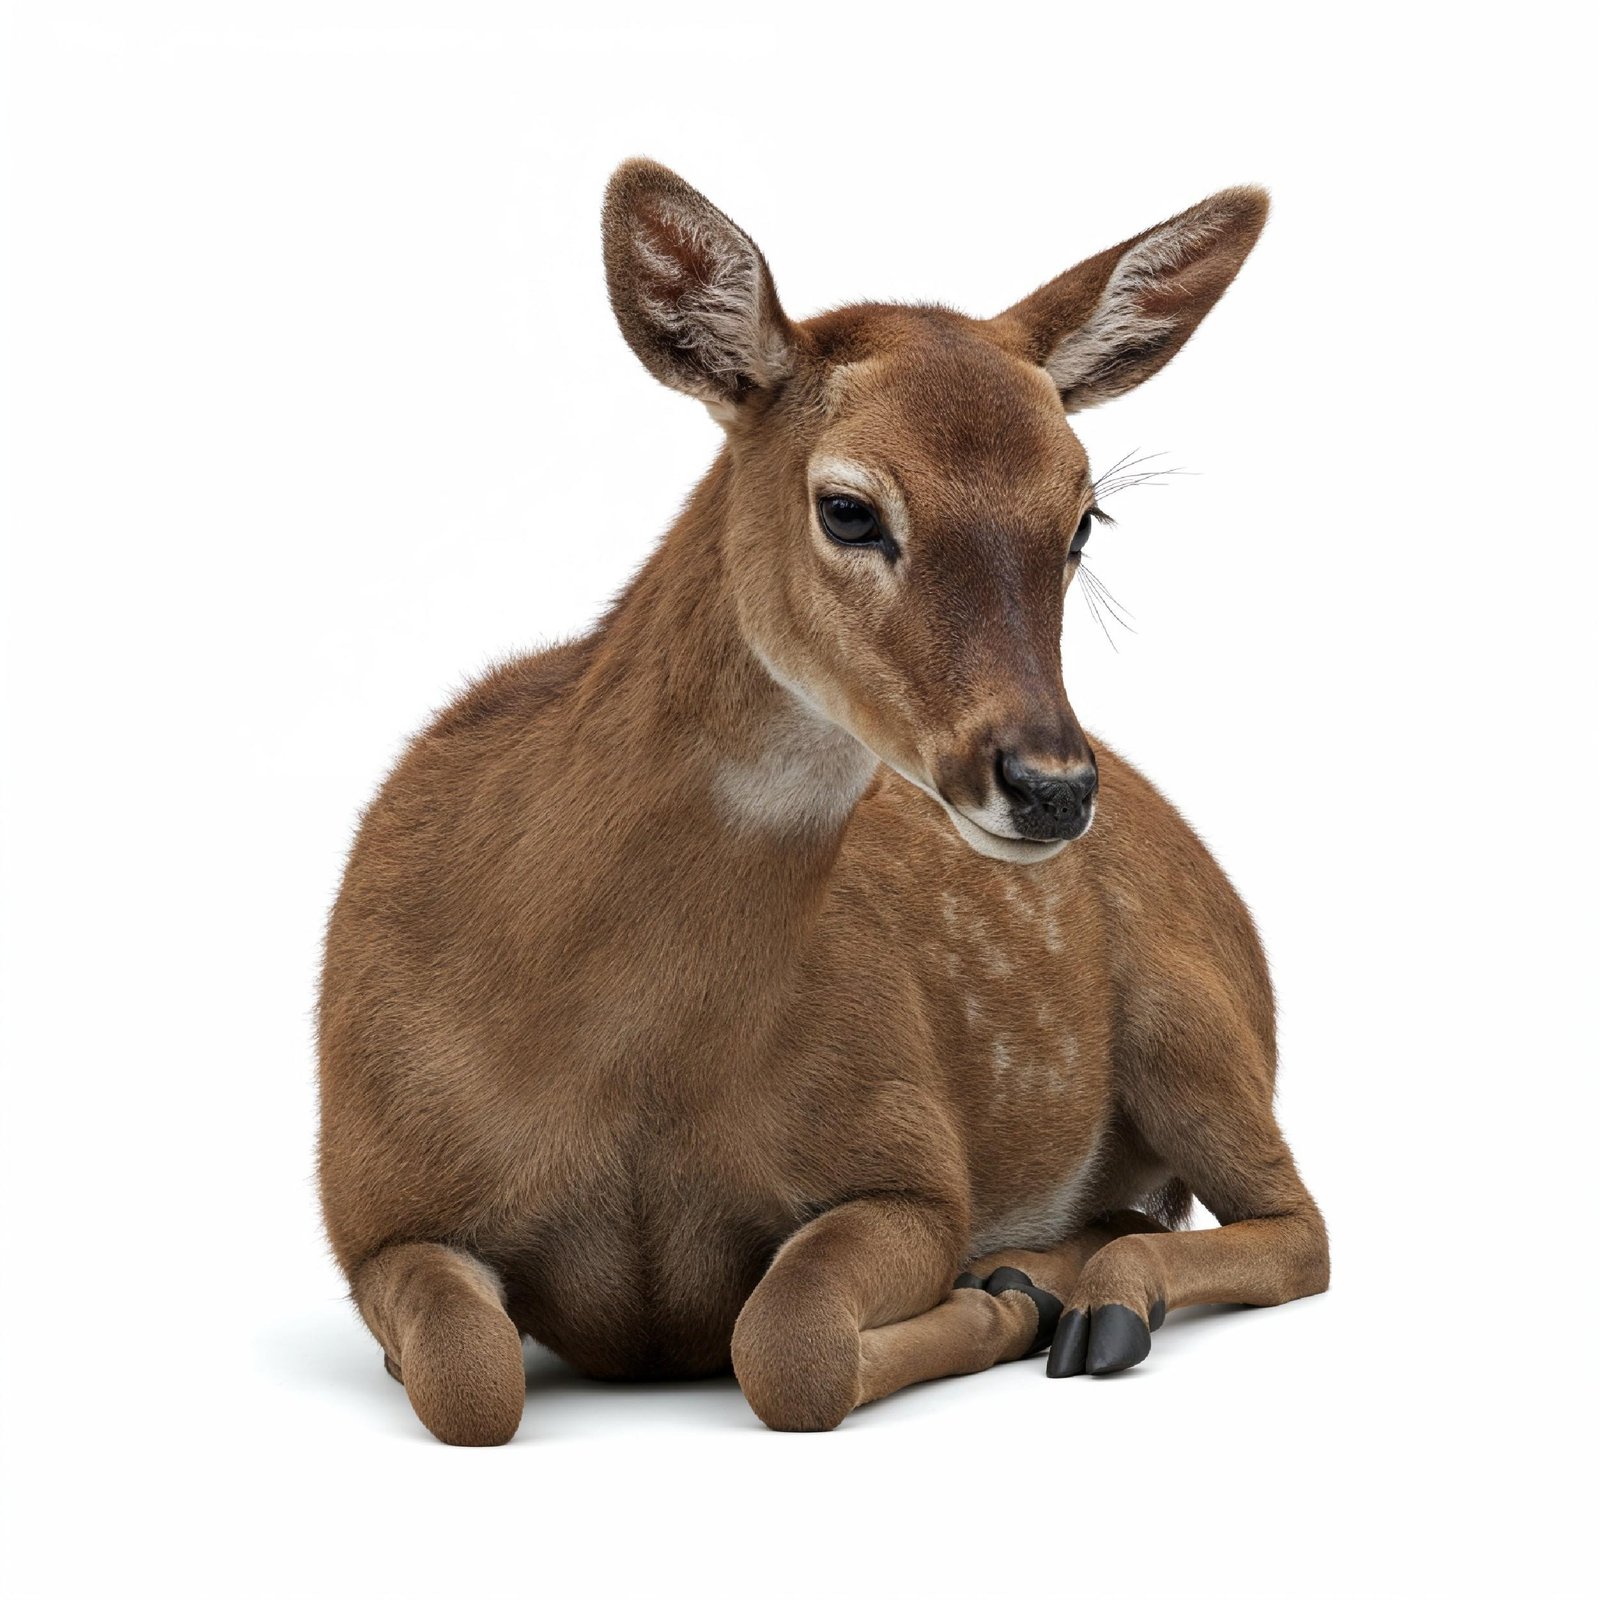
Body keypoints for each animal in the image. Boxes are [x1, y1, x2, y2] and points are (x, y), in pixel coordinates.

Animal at [317, 158, 1329, 1446]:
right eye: (847, 506)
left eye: (1082, 517)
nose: (1050, 788)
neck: (621, 1050)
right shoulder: (373, 1201)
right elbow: (470, 1379)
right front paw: (1005, 1295)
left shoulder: (910, 1159)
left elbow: (786, 1345)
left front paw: (992, 1301)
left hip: (1192, 1018)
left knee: (1297, 1226)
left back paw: (1083, 1301)